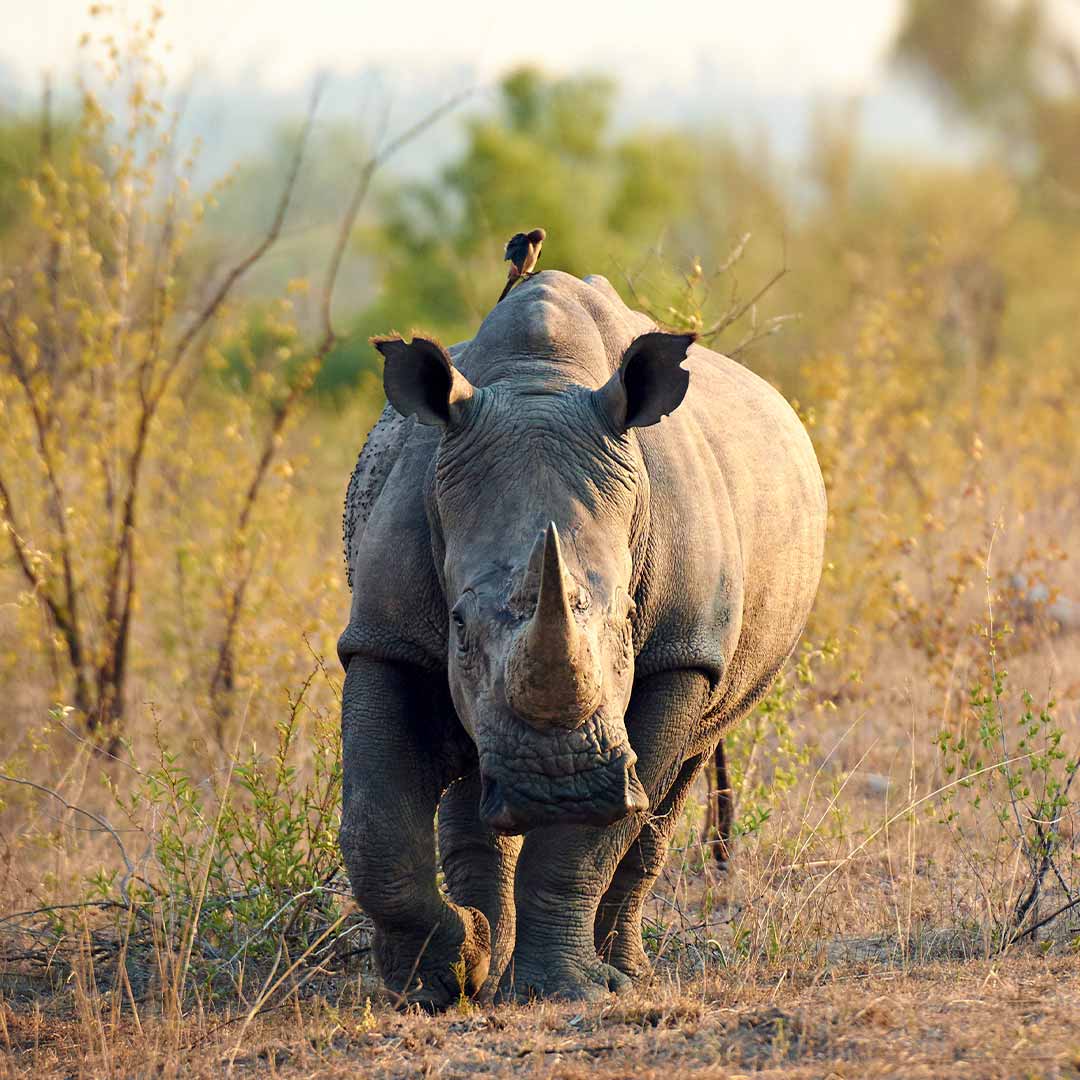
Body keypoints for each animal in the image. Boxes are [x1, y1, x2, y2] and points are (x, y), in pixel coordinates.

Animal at [339, 267, 825, 1002]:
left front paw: (565, 991)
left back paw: (623, 974)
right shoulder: (383, 635)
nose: (557, 785)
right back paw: (489, 957)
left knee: (669, 789)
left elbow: (591, 840)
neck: (539, 382)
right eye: (458, 626)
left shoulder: (680, 654)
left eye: (627, 616)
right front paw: (438, 980)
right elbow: (375, 826)